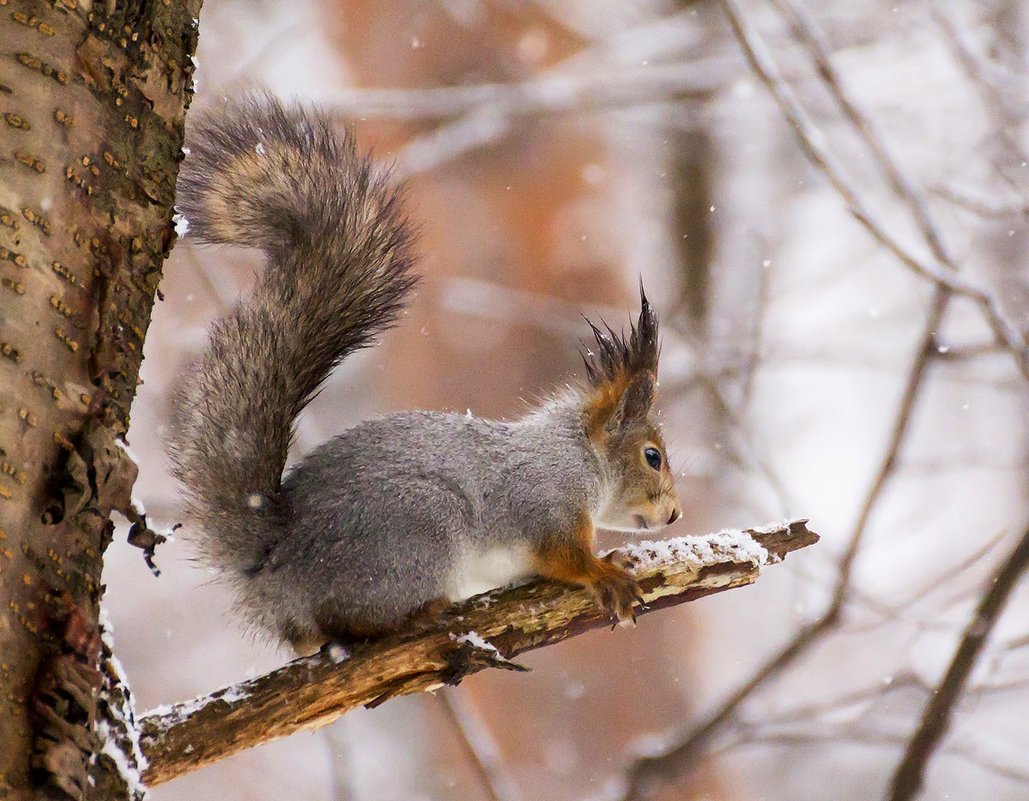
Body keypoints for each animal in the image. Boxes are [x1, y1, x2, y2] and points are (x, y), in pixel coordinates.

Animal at [168, 96, 683, 650]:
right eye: (652, 456)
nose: (675, 514)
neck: (579, 454)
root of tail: (277, 570)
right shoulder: (546, 502)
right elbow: (562, 555)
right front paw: (604, 573)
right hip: (418, 537)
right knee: (345, 622)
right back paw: (417, 615)